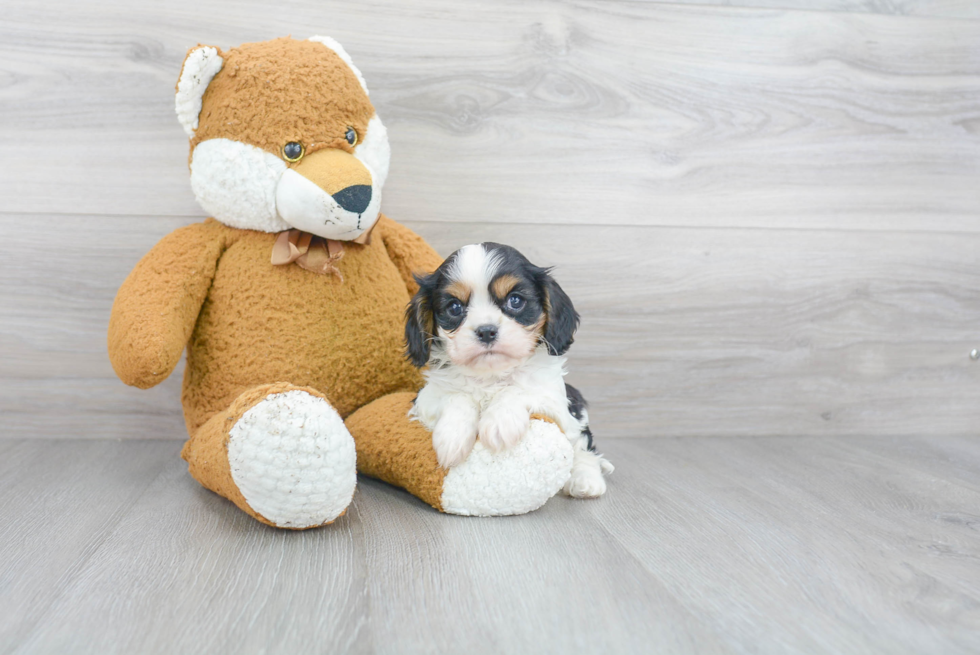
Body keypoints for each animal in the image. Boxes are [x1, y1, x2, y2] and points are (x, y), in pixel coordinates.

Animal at [402, 245, 608, 498]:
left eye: (515, 301)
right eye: (454, 307)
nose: (486, 331)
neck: (490, 375)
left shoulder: (554, 398)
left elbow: (515, 389)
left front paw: (499, 423)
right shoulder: (425, 398)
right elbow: (457, 396)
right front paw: (452, 436)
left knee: (584, 447)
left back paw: (585, 480)